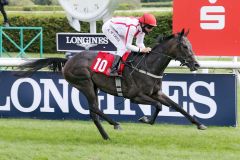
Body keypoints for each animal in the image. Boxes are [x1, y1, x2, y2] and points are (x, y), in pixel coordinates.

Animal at [17, 29, 207, 139]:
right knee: (94, 108)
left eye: (190, 45)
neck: (148, 66)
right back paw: (114, 124)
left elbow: (177, 106)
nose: (196, 64)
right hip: (84, 83)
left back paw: (106, 135)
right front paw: (145, 119)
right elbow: (159, 106)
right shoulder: (135, 96)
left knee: (93, 113)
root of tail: (69, 60)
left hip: (92, 86)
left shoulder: (156, 93)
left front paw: (199, 124)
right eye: (184, 46)